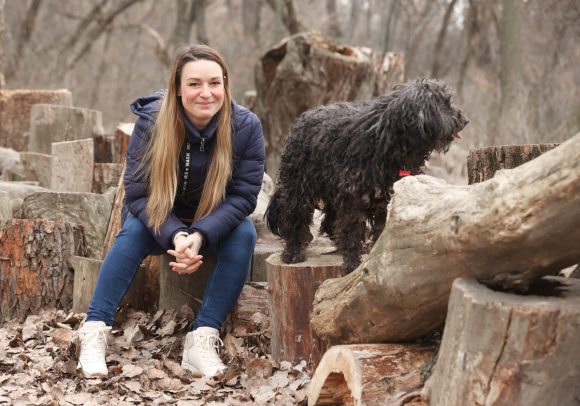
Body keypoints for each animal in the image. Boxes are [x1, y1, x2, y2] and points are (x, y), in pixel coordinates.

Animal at [266, 77, 468, 274]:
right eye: (444, 104)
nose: (465, 120)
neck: (388, 143)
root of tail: (302, 119)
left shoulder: (386, 199)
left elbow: (379, 229)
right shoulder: (352, 198)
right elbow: (351, 231)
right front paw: (352, 264)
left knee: (330, 221)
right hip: (298, 187)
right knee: (294, 219)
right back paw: (293, 252)